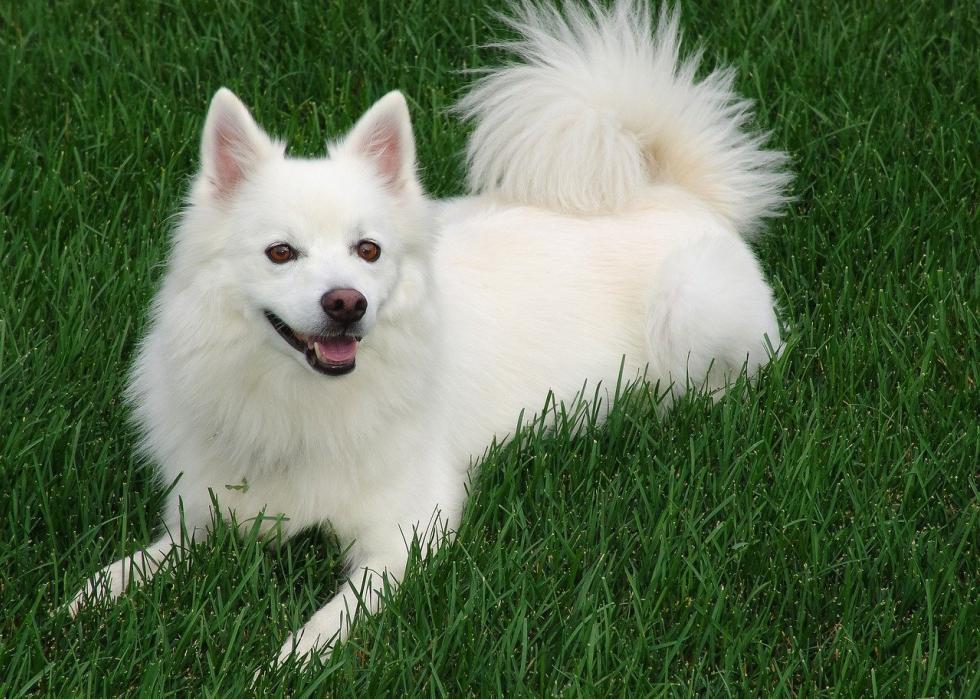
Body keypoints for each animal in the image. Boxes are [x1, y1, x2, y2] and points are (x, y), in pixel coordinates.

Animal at [67, 0, 788, 668]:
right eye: (280, 253)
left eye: (368, 250)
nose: (346, 303)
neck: (300, 401)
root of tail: (680, 192)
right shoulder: (208, 510)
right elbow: (155, 556)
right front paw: (95, 593)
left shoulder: (406, 531)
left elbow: (338, 612)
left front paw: (293, 657)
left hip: (692, 306)